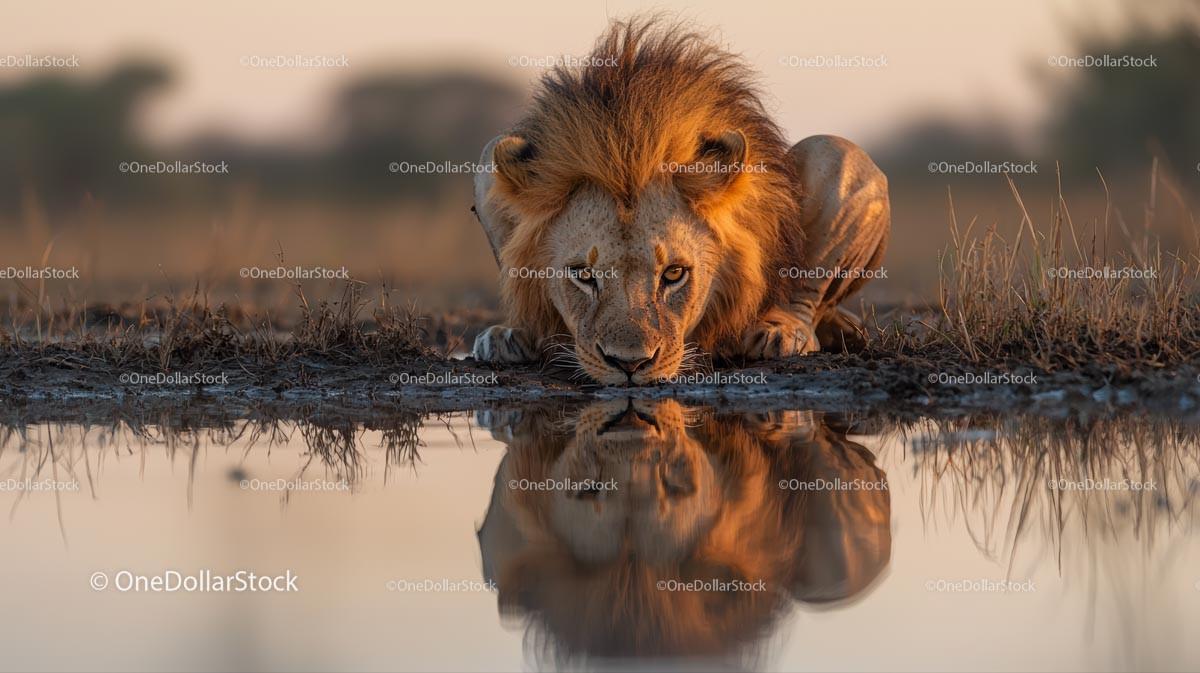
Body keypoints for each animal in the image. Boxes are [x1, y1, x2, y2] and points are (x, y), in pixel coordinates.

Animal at [471, 18, 891, 385]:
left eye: (674, 274)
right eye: (583, 275)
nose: (630, 364)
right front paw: (522, 332)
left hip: (836, 154)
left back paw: (780, 331)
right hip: (492, 156)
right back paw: (511, 337)